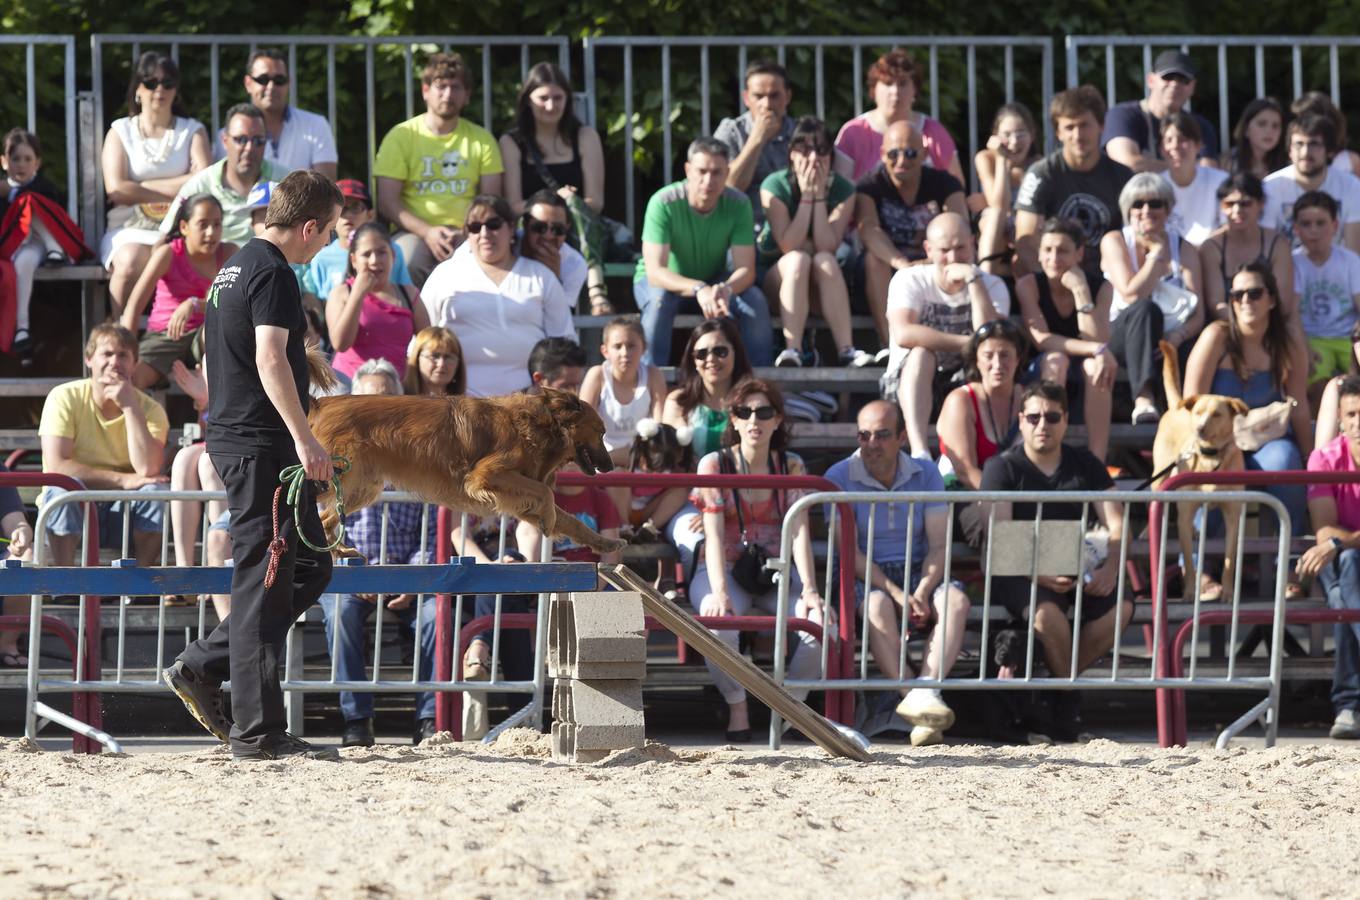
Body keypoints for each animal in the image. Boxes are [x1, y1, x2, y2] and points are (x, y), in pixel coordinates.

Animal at [307, 372, 622, 557]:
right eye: (601, 432)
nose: (610, 467)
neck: (540, 426)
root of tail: (321, 404)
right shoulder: (486, 475)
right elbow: (547, 495)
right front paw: (549, 519)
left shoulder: (517, 497)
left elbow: (570, 520)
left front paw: (603, 543)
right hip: (337, 477)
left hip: (360, 489)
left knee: (326, 518)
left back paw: (339, 551)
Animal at [1147, 342, 1245, 603]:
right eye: (1199, 413)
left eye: (1217, 414)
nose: (1199, 428)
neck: (1210, 457)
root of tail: (1177, 406)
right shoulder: (1185, 511)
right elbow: (1190, 564)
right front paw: (1191, 591)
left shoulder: (1233, 514)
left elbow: (1230, 559)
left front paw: (1228, 592)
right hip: (1159, 478)